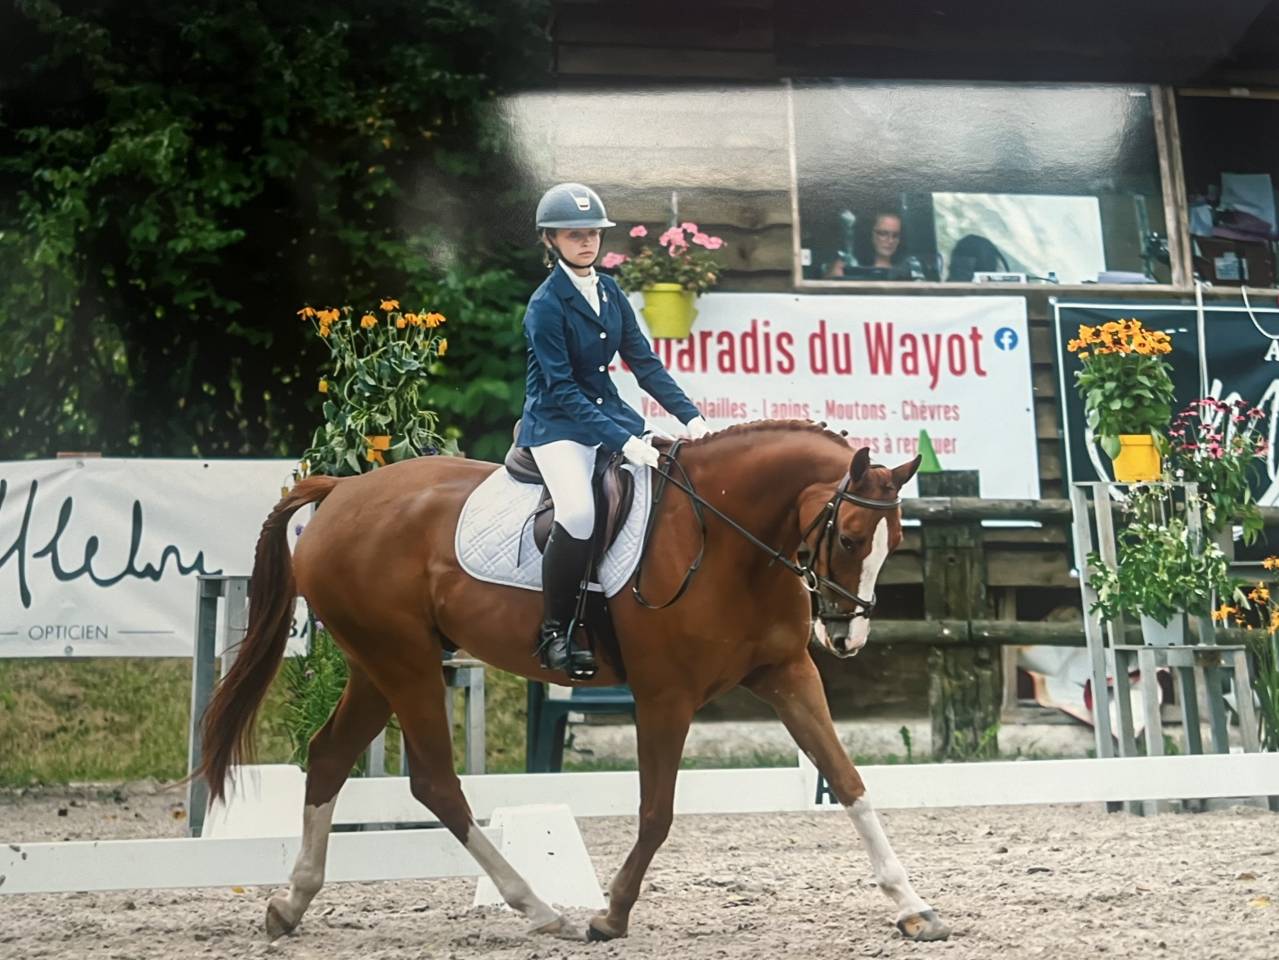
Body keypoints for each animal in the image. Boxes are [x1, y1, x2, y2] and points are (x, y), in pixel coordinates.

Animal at [197, 419, 951, 943]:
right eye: (849, 538)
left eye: (895, 543)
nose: (846, 637)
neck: (725, 540)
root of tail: (342, 489)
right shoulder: (664, 697)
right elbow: (656, 812)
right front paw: (610, 916)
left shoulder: (787, 674)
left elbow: (848, 782)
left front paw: (913, 909)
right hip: (404, 663)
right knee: (433, 782)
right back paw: (539, 908)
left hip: (379, 665)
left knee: (327, 758)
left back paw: (290, 903)